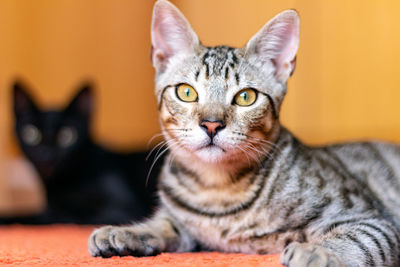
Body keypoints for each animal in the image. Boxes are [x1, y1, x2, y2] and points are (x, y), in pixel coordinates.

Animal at [89, 1, 400, 266]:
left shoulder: (371, 219)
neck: (217, 191)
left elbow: (356, 239)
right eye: (186, 92)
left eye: (246, 97)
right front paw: (127, 232)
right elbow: (166, 224)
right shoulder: (186, 225)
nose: (211, 124)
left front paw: (317, 251)